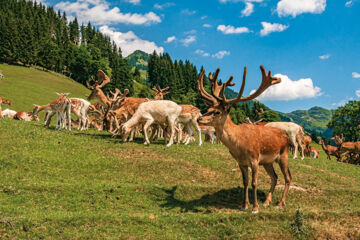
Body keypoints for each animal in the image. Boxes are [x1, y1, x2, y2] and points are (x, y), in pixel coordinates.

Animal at [197, 64, 292, 213]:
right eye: (209, 109)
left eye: (217, 112)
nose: (199, 118)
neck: (239, 145)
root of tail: (286, 136)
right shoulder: (241, 162)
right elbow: (245, 182)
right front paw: (244, 205)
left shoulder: (255, 159)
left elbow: (254, 183)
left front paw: (255, 208)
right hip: (267, 161)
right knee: (275, 177)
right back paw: (267, 201)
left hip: (283, 155)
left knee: (288, 177)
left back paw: (280, 203)